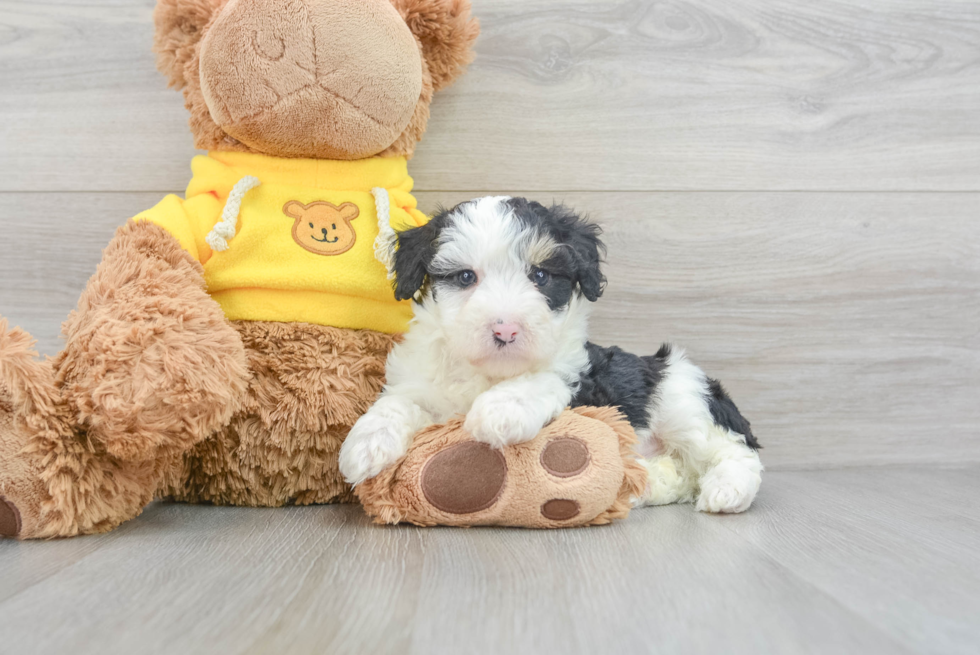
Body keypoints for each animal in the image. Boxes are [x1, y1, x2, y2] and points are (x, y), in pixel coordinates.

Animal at [340, 197, 760, 516]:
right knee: (680, 473)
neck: (490, 375)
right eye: (465, 278)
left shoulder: (579, 378)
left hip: (683, 401)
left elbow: (542, 379)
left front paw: (500, 410)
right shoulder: (422, 382)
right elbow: (399, 401)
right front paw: (365, 443)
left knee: (734, 449)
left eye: (540, 276)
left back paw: (726, 490)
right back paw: (643, 485)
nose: (505, 330)